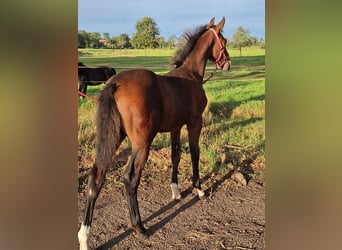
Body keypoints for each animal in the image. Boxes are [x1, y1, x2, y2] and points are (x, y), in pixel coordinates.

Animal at [78, 16, 232, 249]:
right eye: (223, 40)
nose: (228, 63)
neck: (191, 76)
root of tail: (115, 83)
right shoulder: (194, 122)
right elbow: (194, 153)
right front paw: (199, 189)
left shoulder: (176, 126)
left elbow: (176, 155)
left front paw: (176, 191)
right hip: (142, 143)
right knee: (130, 178)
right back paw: (139, 227)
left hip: (113, 138)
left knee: (96, 176)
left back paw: (84, 236)